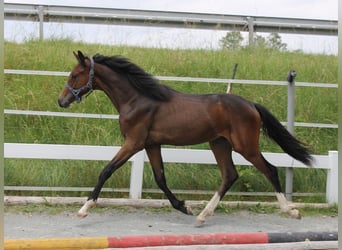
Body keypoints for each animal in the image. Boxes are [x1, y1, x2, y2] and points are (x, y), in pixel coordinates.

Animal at [58, 50, 312, 225]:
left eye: (75, 75)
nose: (61, 101)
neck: (137, 99)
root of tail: (251, 105)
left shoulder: (133, 143)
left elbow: (106, 170)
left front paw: (84, 209)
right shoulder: (151, 144)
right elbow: (160, 179)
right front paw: (184, 207)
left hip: (245, 146)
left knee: (270, 170)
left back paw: (291, 211)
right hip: (219, 143)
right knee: (230, 175)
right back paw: (202, 215)